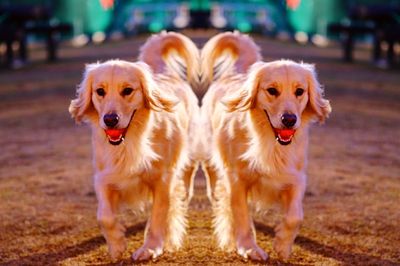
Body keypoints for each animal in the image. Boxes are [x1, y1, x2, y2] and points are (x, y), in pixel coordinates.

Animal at [69, 31, 202, 262]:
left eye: (128, 90)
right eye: (100, 91)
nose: (110, 119)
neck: (131, 142)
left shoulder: (163, 179)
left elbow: (158, 216)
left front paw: (151, 248)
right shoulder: (104, 177)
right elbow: (104, 216)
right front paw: (117, 245)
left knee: (184, 190)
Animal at [200, 31, 332, 262]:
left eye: (300, 91)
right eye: (272, 90)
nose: (289, 119)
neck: (269, 142)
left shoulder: (296, 177)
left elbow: (295, 216)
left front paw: (282, 245)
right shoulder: (236, 179)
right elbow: (241, 216)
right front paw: (249, 248)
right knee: (216, 192)